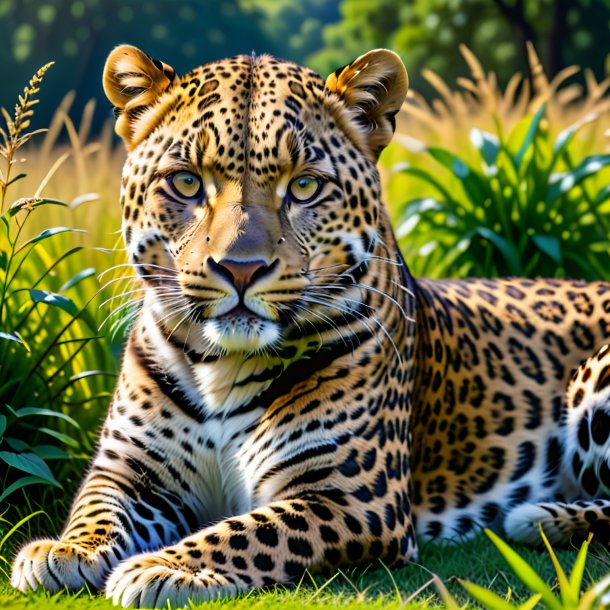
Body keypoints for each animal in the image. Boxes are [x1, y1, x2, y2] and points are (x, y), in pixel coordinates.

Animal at [9, 45, 608, 604]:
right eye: (185, 183)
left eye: (303, 187)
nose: (240, 269)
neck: (221, 366)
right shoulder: (129, 470)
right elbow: (97, 507)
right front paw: (65, 550)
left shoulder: (352, 498)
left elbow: (246, 533)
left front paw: (165, 567)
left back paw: (540, 517)